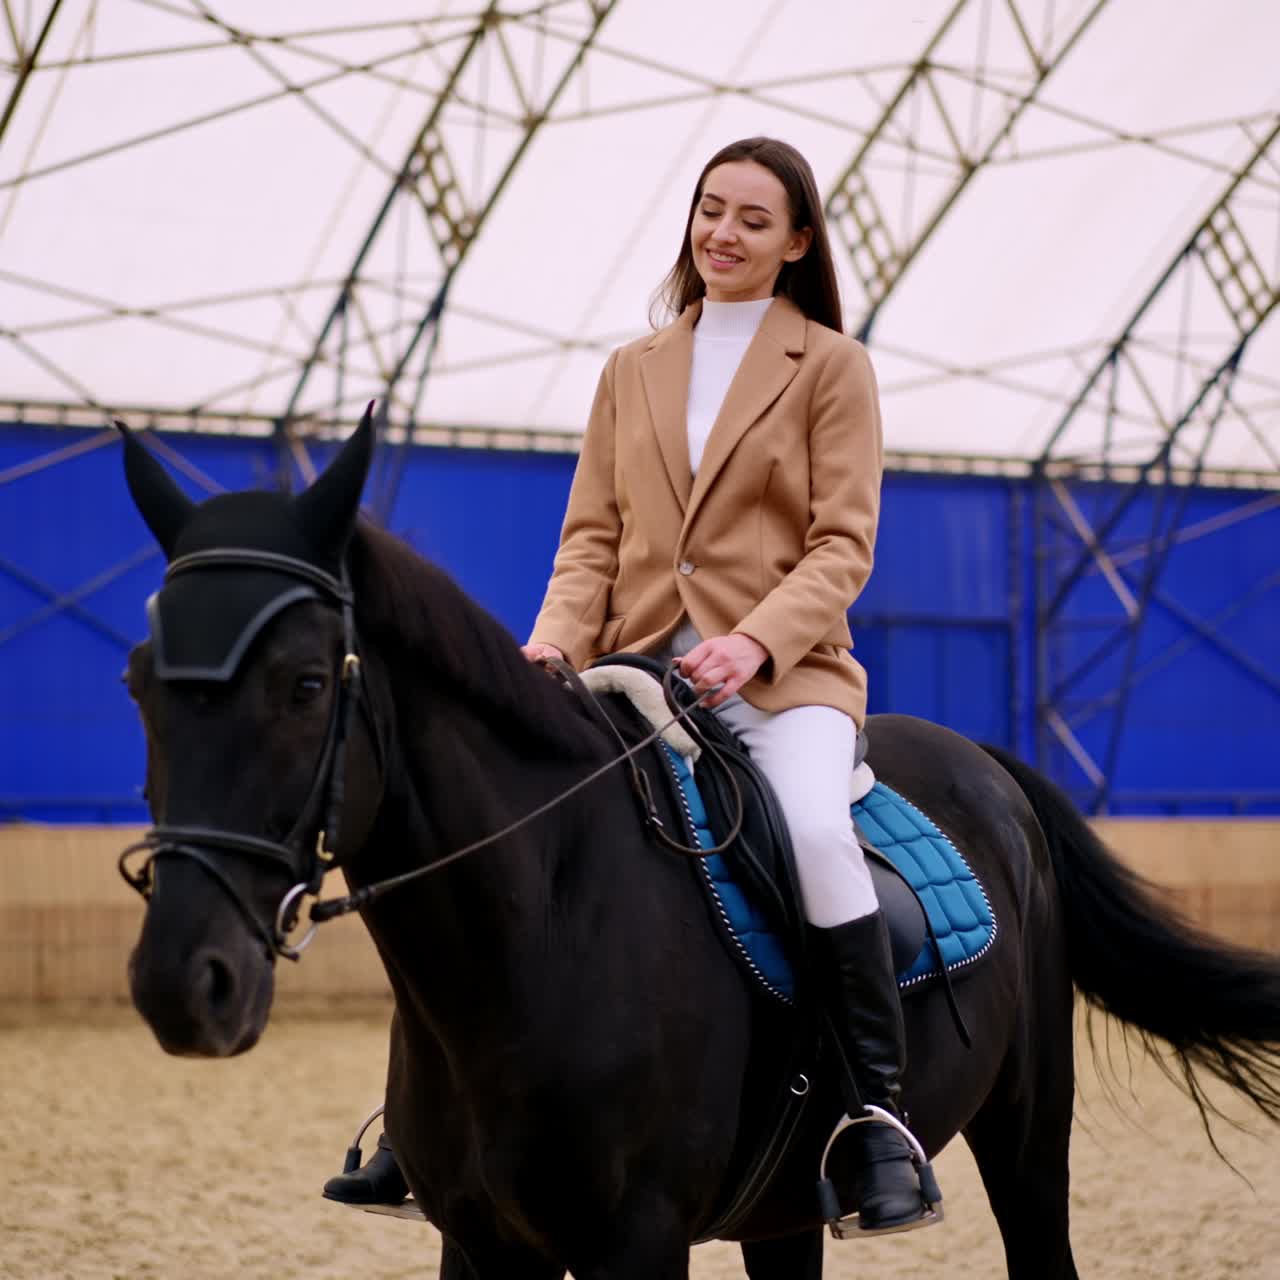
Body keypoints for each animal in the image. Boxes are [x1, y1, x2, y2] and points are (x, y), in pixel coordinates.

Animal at [116, 410, 1280, 1279]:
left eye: (307, 684)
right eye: (137, 682)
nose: (184, 981)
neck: (537, 933)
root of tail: (986, 764)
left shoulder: (637, 1241)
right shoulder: (481, 1242)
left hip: (1028, 1136)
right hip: (787, 1209)